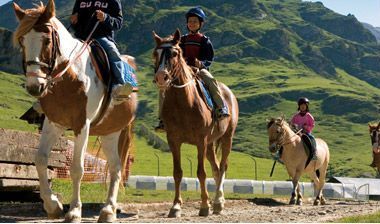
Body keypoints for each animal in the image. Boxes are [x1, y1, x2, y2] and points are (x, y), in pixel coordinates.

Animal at [13, 0, 138, 222]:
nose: (35, 87)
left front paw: (74, 211)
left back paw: (108, 210)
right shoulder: (53, 122)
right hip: (108, 133)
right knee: (115, 167)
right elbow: (40, 160)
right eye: (22, 40)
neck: (69, 77)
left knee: (117, 168)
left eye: (47, 40)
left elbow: (77, 168)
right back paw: (108, 210)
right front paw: (53, 205)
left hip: (117, 131)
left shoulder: (82, 124)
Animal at [151, 29, 238, 217]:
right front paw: (176, 206)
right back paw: (217, 202)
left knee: (223, 166)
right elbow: (177, 173)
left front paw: (204, 206)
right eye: (156, 54)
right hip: (211, 144)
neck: (183, 103)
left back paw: (218, 202)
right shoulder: (174, 140)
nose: (161, 77)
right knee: (216, 168)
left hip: (226, 138)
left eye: (175, 53)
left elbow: (201, 173)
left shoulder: (200, 141)